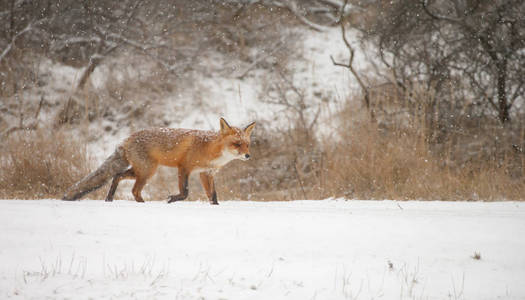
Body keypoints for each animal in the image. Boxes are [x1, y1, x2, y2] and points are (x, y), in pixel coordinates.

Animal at [62, 118, 255, 205]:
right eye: (236, 144)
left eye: (247, 144)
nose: (248, 156)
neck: (210, 150)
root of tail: (127, 139)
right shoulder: (184, 167)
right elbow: (185, 192)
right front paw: (171, 199)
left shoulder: (205, 173)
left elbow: (213, 195)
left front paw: (216, 207)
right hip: (148, 171)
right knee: (133, 190)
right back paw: (142, 204)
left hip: (141, 170)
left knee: (117, 176)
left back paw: (109, 198)